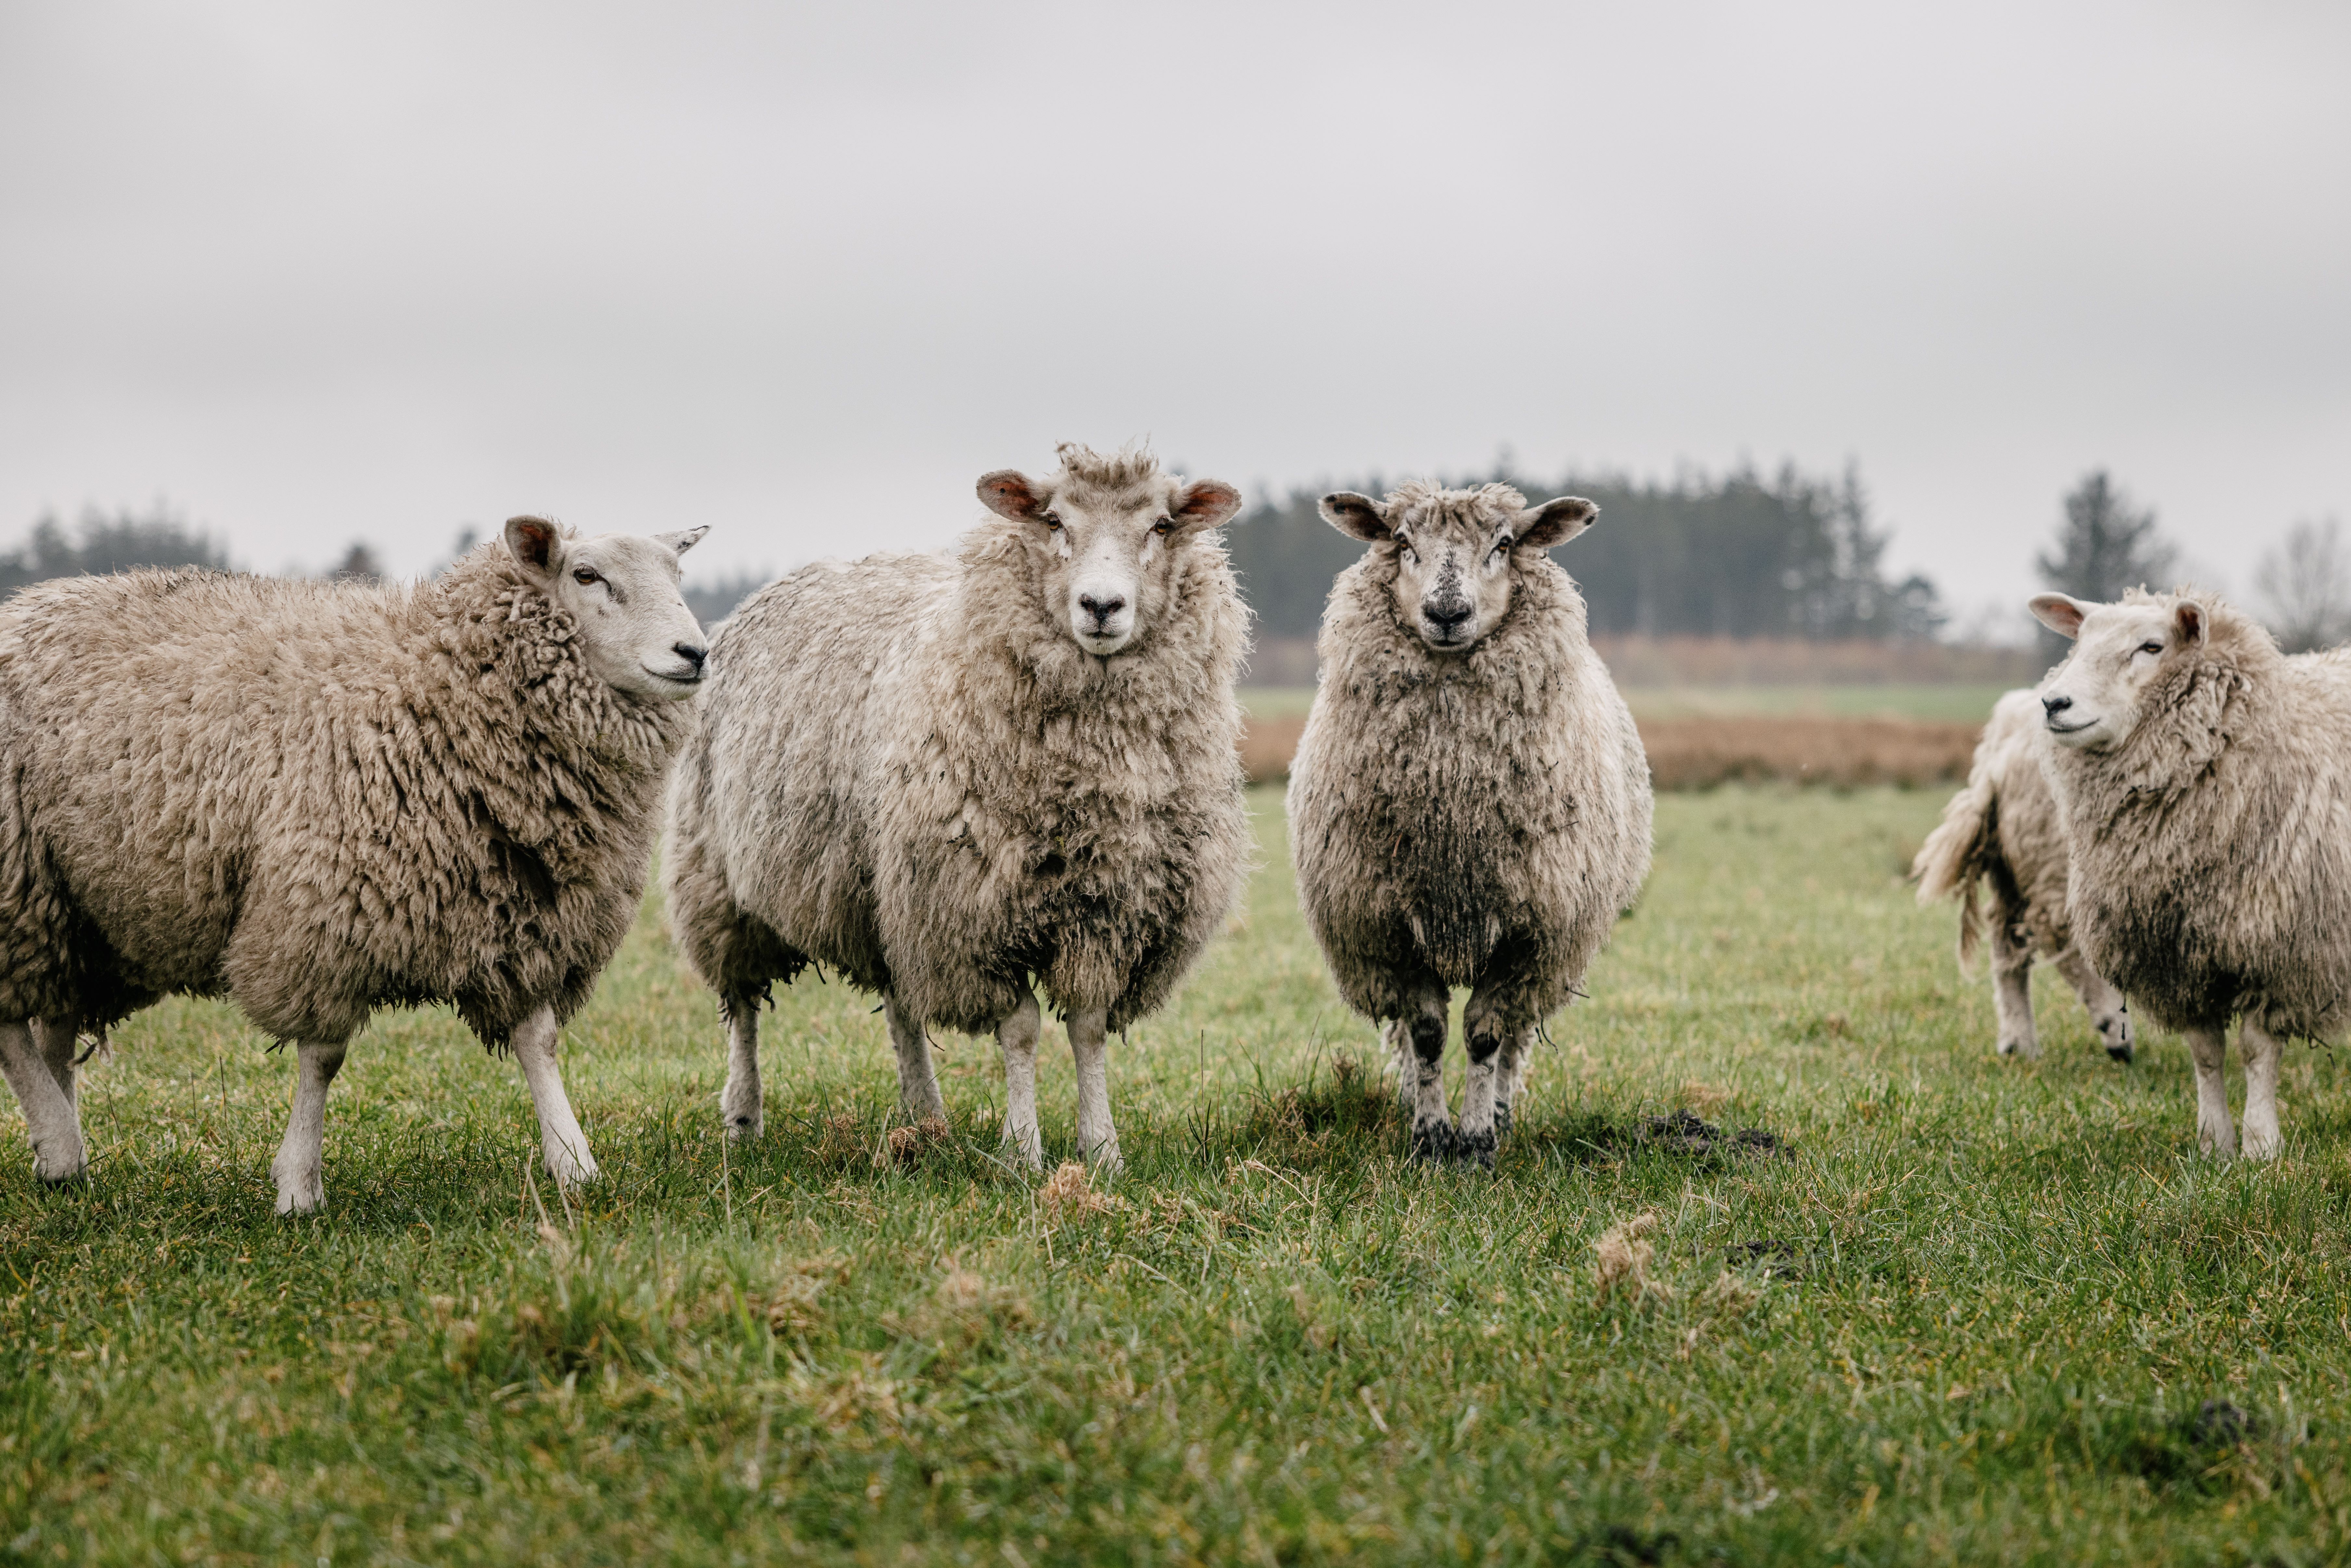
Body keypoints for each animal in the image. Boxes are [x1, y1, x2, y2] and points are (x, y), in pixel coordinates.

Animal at [0, 518, 710, 1211]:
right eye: (586, 575)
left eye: (678, 573)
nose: (695, 653)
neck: (434, 682)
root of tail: (24, 601)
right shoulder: (325, 916)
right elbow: (323, 1058)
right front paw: (299, 1184)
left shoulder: (525, 921)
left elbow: (539, 1042)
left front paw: (573, 1163)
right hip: (18, 880)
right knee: (13, 1022)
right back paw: (59, 1146)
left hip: (72, 908)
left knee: (53, 1024)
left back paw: (59, 1146)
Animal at [663, 444, 1250, 1174]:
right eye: (1053, 521)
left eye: (1162, 527)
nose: (1102, 606)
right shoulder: (975, 916)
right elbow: (1021, 1029)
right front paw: (1023, 1151)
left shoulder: (1106, 912)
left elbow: (1087, 1026)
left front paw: (1102, 1149)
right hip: (719, 877)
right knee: (742, 1005)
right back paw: (744, 1116)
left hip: (889, 892)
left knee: (899, 1007)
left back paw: (925, 1115)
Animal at [1286, 481, 1652, 1168]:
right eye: (1402, 542)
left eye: (1504, 545)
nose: (1448, 612)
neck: (1450, 795)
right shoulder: (1388, 925)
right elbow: (1427, 1032)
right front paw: (1430, 1140)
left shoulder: (1528, 930)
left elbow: (1486, 1035)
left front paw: (1478, 1141)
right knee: (1407, 1031)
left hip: (1550, 952)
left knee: (1516, 1033)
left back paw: (1502, 1113)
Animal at [1912, 687, 2134, 1062]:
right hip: (2055, 853)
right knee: (2062, 935)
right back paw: (2114, 1028)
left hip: (2012, 864)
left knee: (2007, 942)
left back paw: (2019, 1042)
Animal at [2029, 586, 2351, 1159]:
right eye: (2079, 640)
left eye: (2151, 646)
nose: (2053, 703)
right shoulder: (2178, 957)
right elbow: (2205, 1052)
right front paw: (2213, 1144)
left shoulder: (2275, 949)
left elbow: (2256, 1051)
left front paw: (2261, 1146)